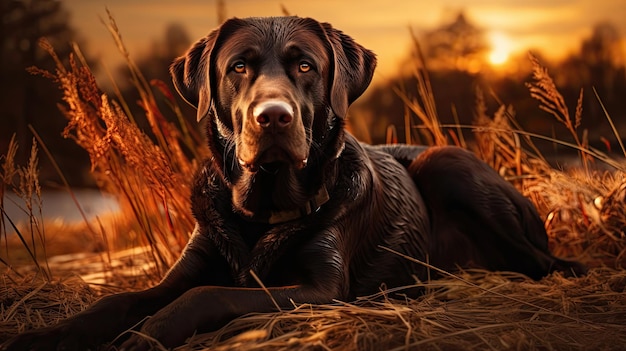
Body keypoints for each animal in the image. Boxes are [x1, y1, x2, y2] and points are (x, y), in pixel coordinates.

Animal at [1, 16, 584, 351]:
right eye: (238, 67)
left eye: (305, 66)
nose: (273, 117)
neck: (261, 212)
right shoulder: (183, 269)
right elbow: (117, 301)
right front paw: (42, 334)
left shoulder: (320, 291)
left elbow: (208, 295)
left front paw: (146, 336)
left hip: (448, 163)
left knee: (546, 263)